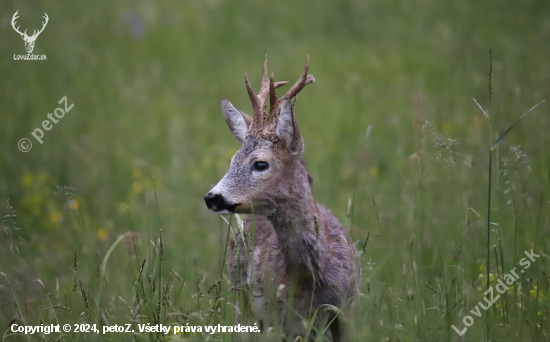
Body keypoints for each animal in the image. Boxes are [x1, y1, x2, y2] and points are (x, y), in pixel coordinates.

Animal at [205, 55, 360, 340]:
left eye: (260, 164)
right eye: (232, 160)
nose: (212, 197)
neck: (313, 277)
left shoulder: (347, 311)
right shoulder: (278, 316)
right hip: (243, 300)